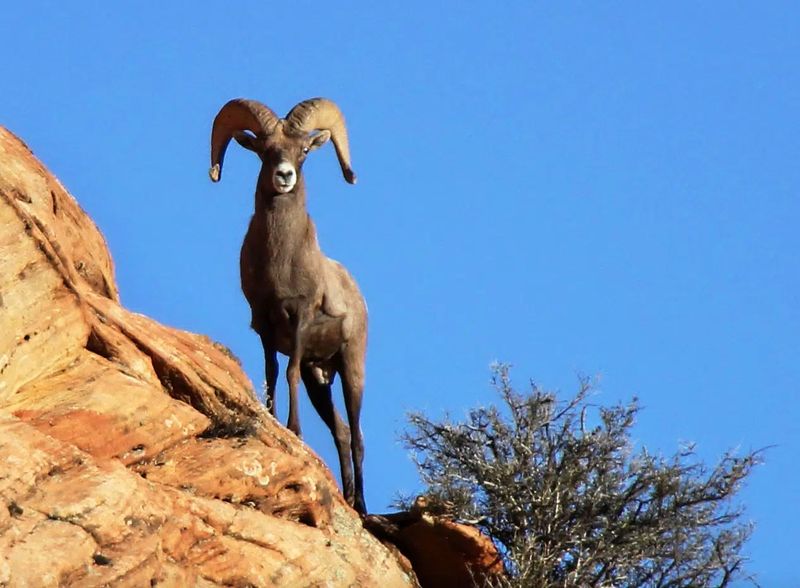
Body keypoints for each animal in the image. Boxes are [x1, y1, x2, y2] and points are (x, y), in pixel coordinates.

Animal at [208, 99, 368, 512]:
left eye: (305, 150)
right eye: (265, 150)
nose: (284, 176)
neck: (280, 259)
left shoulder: (299, 319)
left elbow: (290, 371)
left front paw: (294, 430)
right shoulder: (264, 324)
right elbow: (273, 374)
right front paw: (273, 419)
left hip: (351, 368)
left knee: (358, 436)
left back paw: (361, 505)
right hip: (320, 379)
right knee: (342, 432)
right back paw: (348, 496)